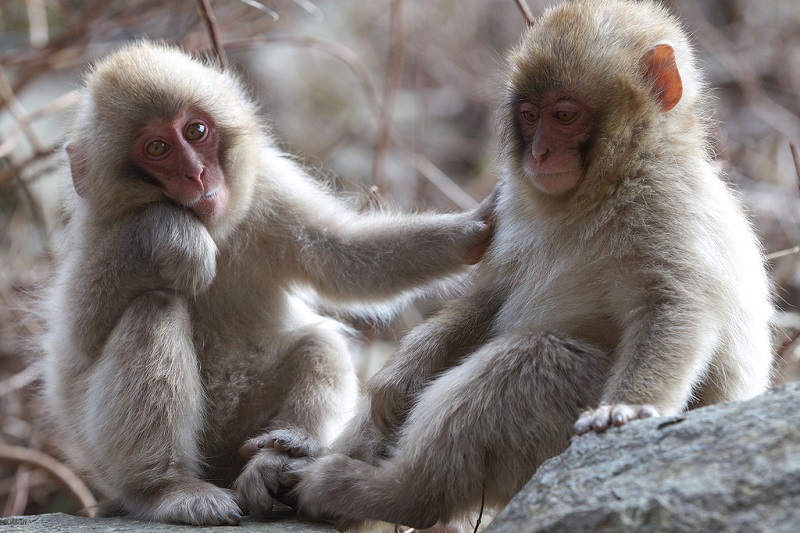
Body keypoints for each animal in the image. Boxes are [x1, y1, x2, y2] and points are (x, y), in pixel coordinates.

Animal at [39, 41, 494, 524]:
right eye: (157, 148)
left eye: (196, 131)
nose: (196, 174)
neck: (216, 229)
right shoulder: (97, 228)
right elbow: (77, 339)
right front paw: (168, 231)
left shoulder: (269, 188)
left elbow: (341, 257)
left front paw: (474, 230)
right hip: (110, 459)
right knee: (153, 309)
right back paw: (165, 489)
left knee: (318, 341)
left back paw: (281, 454)